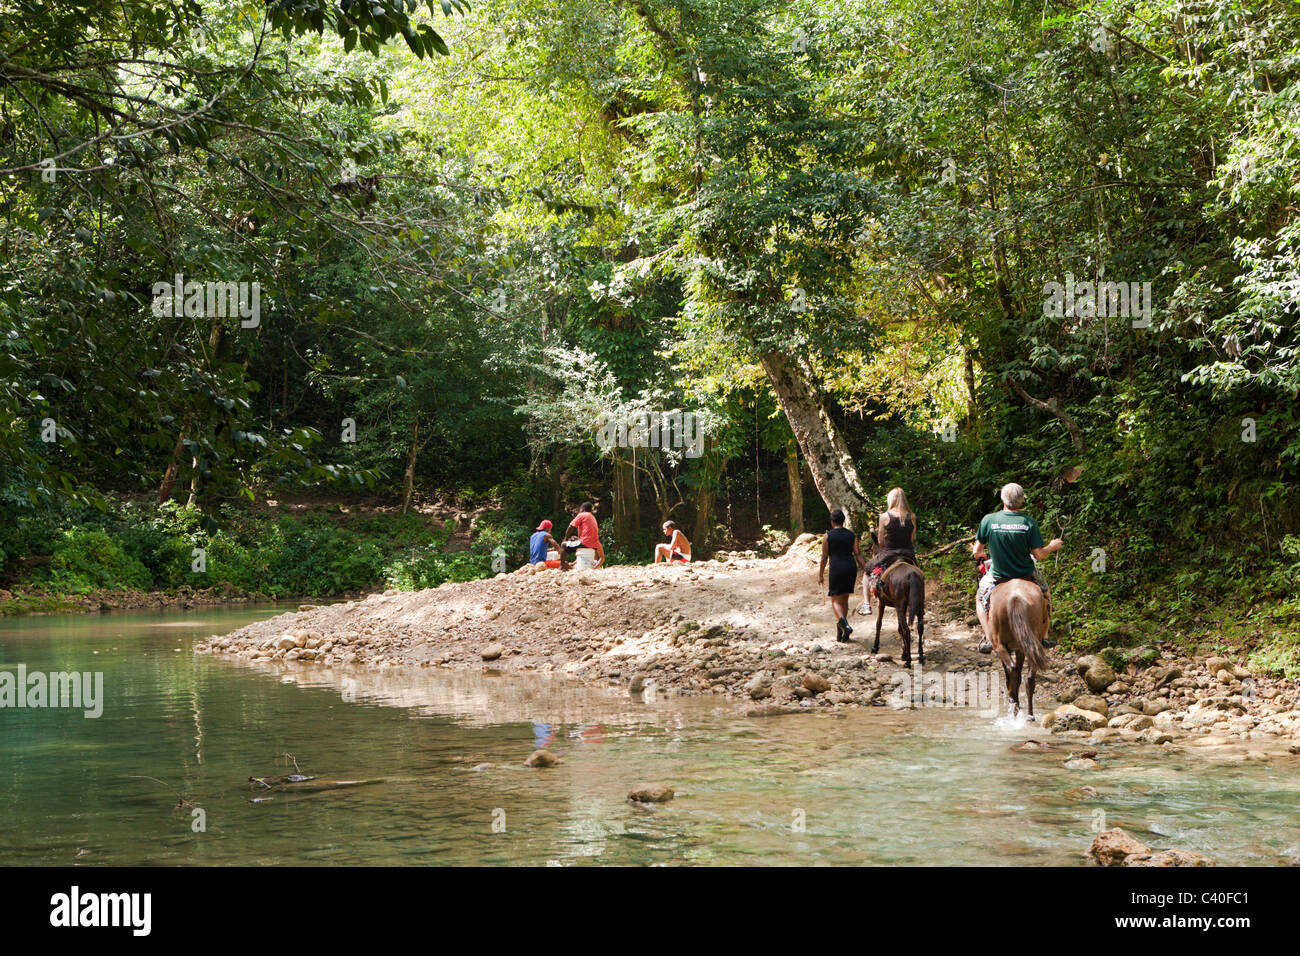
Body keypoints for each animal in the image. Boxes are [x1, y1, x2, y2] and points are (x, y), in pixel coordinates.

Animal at [987, 580, 1050, 723]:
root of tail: (1016, 597)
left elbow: (1009, 674)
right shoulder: (1020, 648)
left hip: (1000, 645)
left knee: (1012, 670)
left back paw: (1014, 705)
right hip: (1031, 642)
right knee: (1029, 677)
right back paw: (1029, 715)